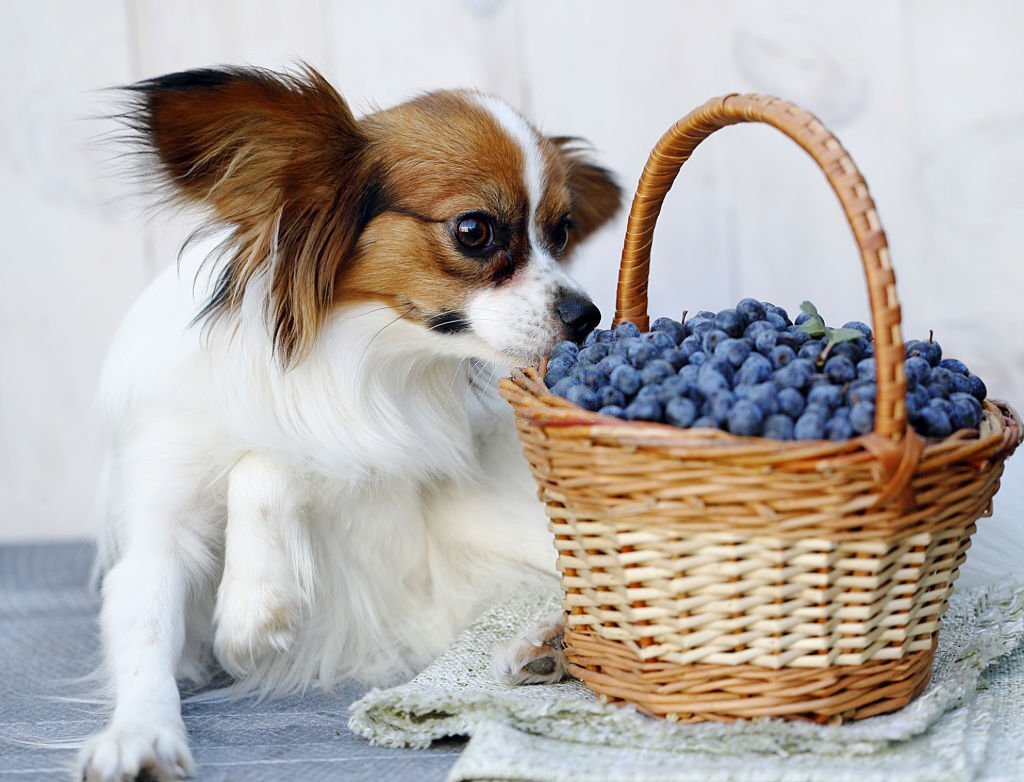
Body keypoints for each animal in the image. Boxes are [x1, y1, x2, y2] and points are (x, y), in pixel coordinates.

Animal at [77, 67, 614, 781]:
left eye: (561, 232)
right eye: (474, 230)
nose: (588, 316)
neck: (346, 355)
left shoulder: (380, 450)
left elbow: (271, 461)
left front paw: (250, 606)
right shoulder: (158, 528)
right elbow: (145, 630)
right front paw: (139, 734)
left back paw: (550, 638)